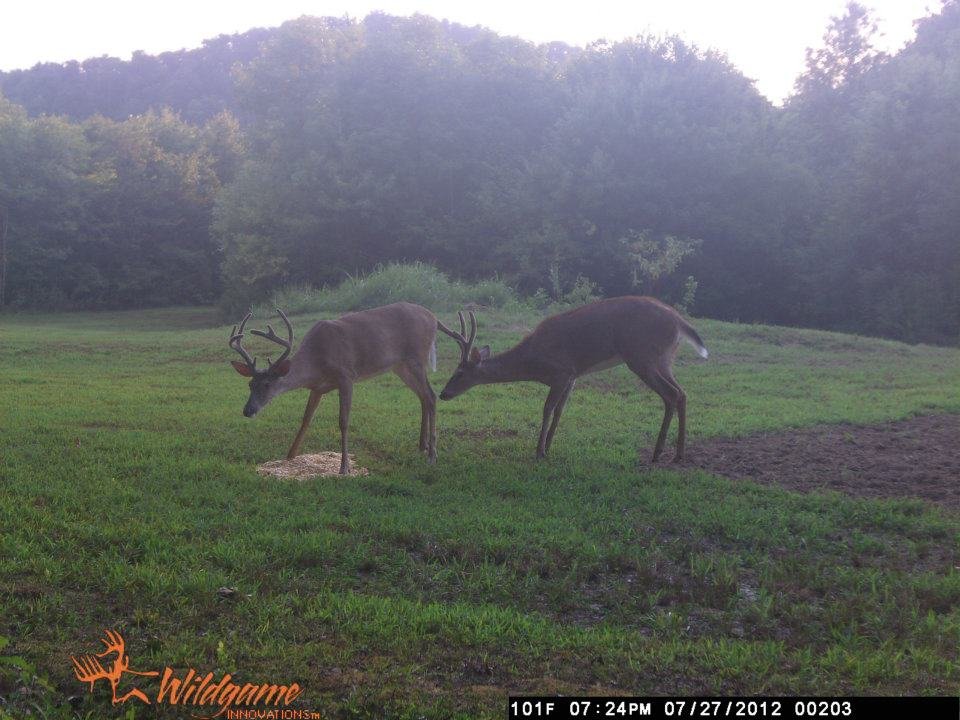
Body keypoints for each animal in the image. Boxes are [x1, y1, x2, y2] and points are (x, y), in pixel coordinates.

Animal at [229, 302, 441, 474]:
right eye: (250, 384)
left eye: (267, 384)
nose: (248, 410)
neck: (317, 362)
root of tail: (433, 317)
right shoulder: (317, 387)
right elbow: (306, 419)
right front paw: (289, 456)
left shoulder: (346, 376)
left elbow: (343, 421)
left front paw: (344, 467)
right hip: (400, 366)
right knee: (423, 396)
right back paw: (422, 447)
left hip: (416, 357)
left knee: (431, 395)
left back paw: (432, 455)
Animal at [438, 296, 708, 463]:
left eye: (459, 373)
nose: (443, 394)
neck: (533, 362)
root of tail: (680, 322)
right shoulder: (572, 376)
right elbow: (559, 411)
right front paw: (548, 447)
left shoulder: (560, 371)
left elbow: (547, 409)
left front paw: (538, 451)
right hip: (664, 358)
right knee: (682, 393)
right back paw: (678, 454)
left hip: (641, 356)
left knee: (671, 394)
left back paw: (658, 452)